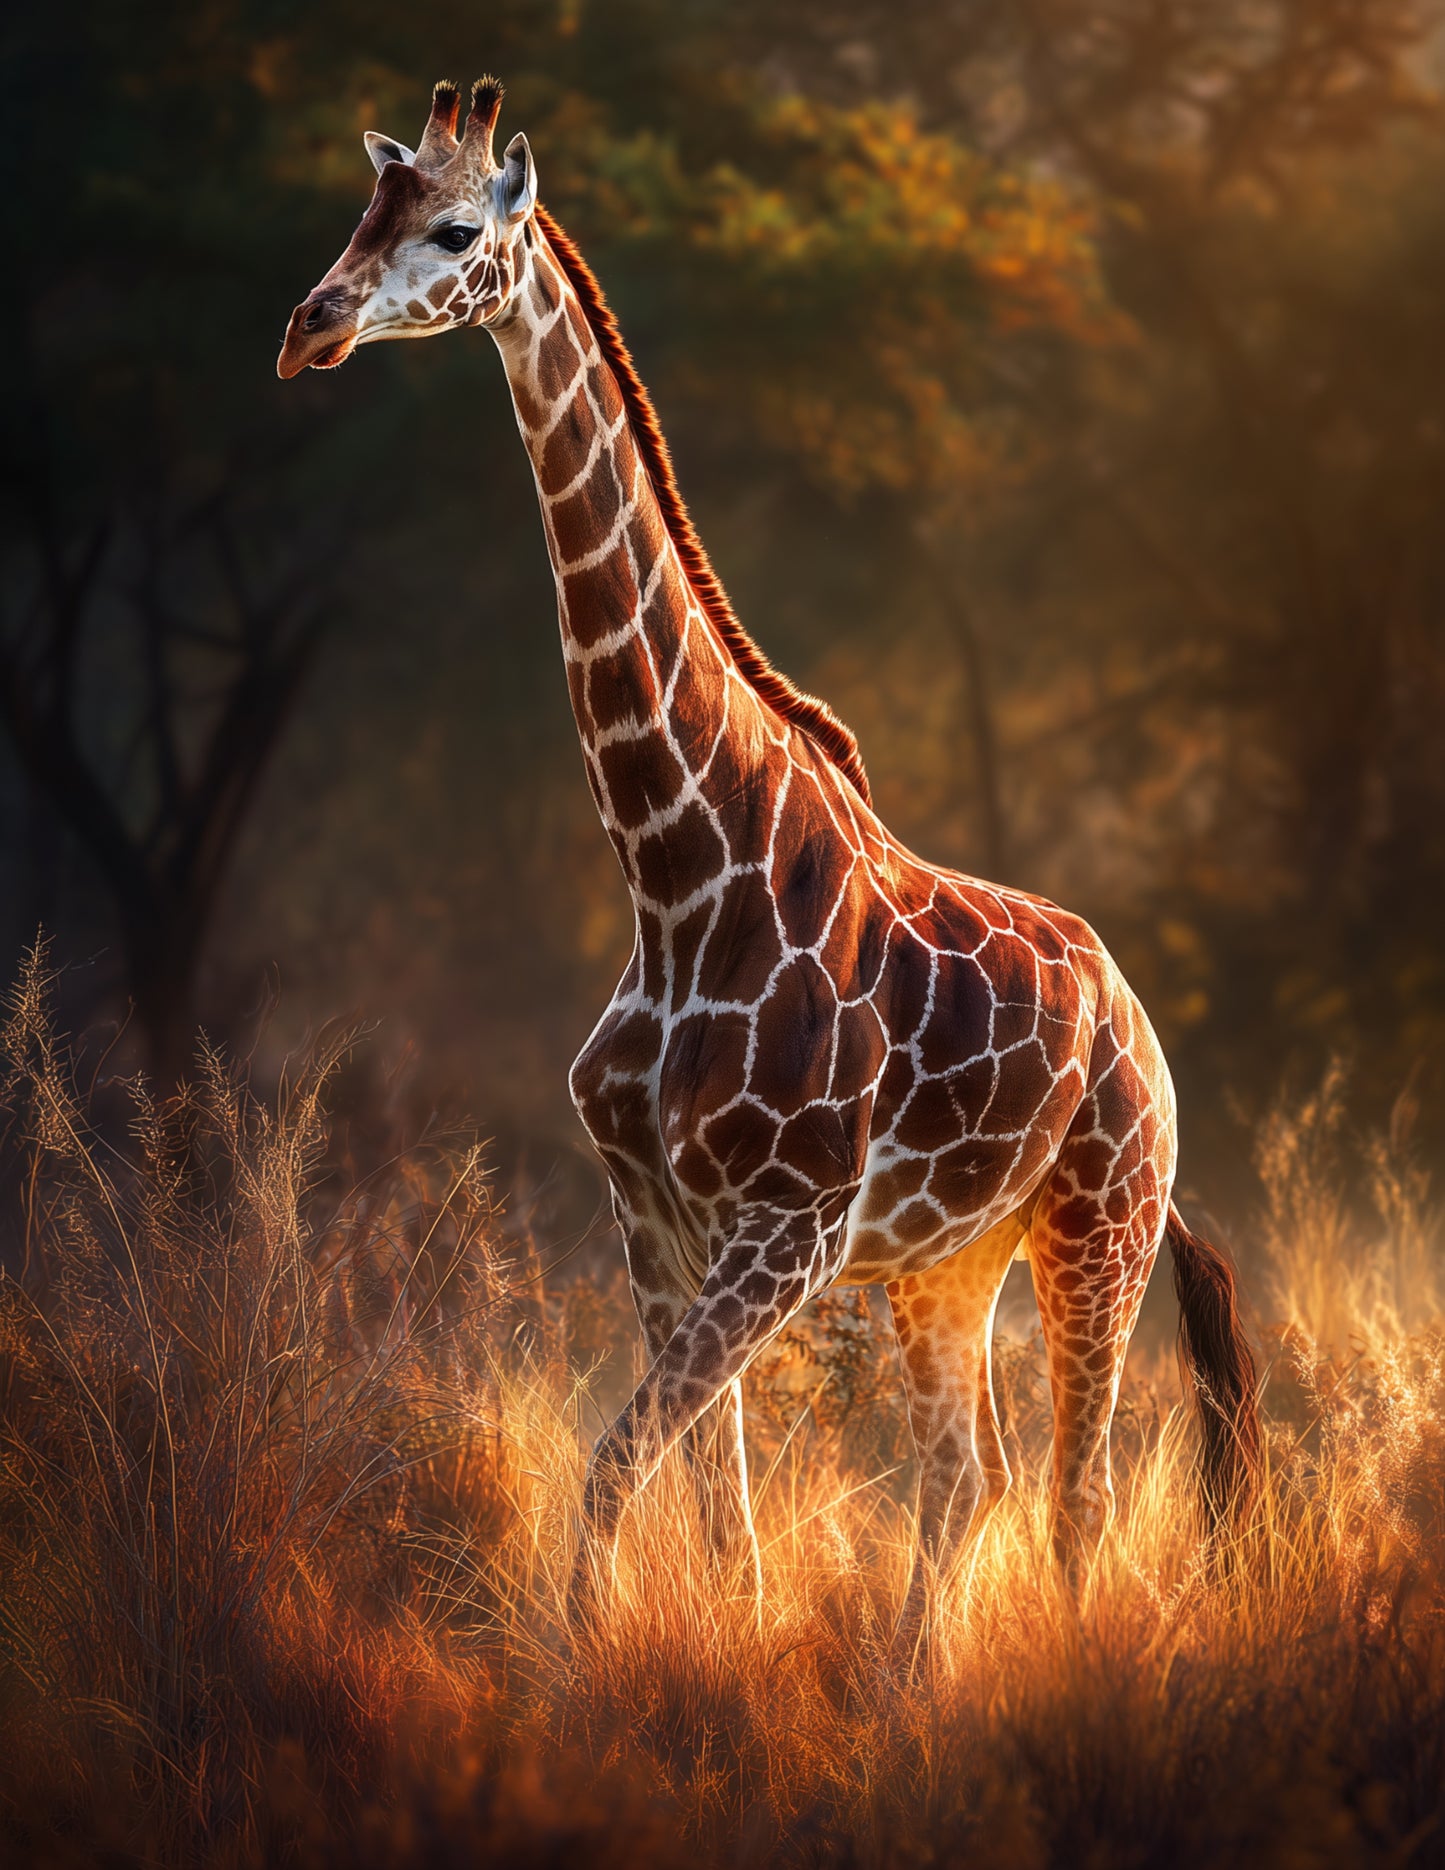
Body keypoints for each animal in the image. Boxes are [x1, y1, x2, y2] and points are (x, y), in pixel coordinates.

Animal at [279, 77, 1260, 1626]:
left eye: (452, 229)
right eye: (361, 207)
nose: (309, 325)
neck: (676, 872)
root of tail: (1143, 1026)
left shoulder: (785, 1227)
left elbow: (617, 1472)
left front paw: (566, 1661)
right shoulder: (656, 1216)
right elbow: (711, 1513)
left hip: (1096, 1224)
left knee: (1074, 1498)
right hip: (947, 1263)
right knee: (966, 1476)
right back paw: (906, 1679)